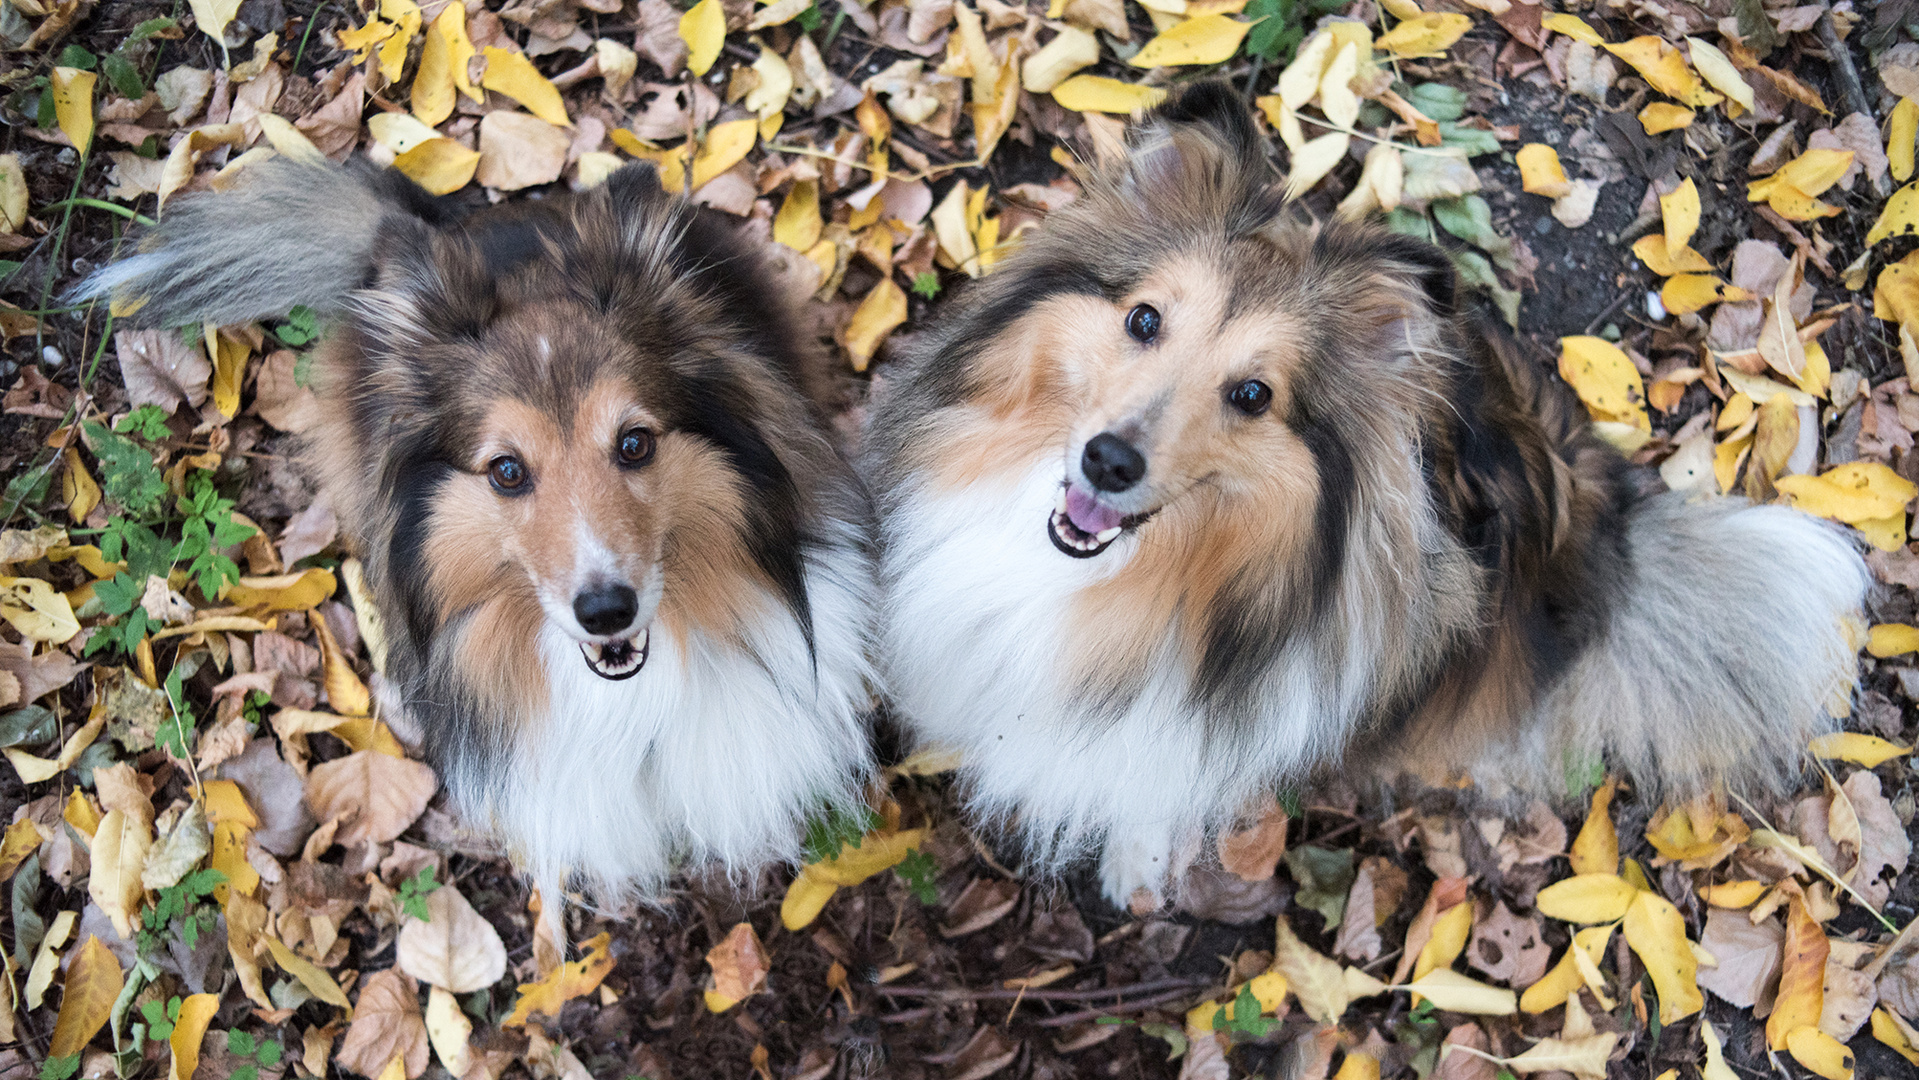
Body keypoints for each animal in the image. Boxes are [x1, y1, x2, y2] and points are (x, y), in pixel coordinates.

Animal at [863, 86, 1865, 913]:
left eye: (1253, 394)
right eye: (1143, 319)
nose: (1106, 461)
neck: (1120, 580)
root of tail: (1608, 520)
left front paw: (1137, 859)